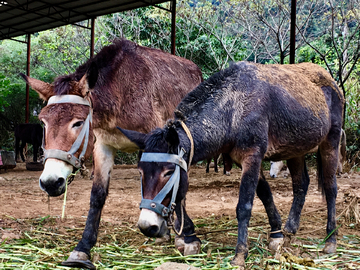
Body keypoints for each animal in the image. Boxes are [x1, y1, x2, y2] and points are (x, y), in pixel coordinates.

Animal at [21, 38, 202, 270]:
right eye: (43, 123)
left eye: (78, 123)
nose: (51, 182)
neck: (121, 91)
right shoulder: (103, 146)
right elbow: (97, 195)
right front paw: (82, 248)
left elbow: (176, 186)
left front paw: (188, 238)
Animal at [119, 61, 344, 268]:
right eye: (140, 172)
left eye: (168, 172)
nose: (147, 226)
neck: (233, 107)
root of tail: (330, 80)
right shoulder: (247, 160)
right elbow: (266, 195)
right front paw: (276, 234)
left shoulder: (252, 157)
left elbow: (244, 205)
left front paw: (240, 254)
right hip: (295, 149)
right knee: (301, 185)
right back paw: (290, 230)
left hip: (330, 143)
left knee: (330, 188)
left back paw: (331, 239)